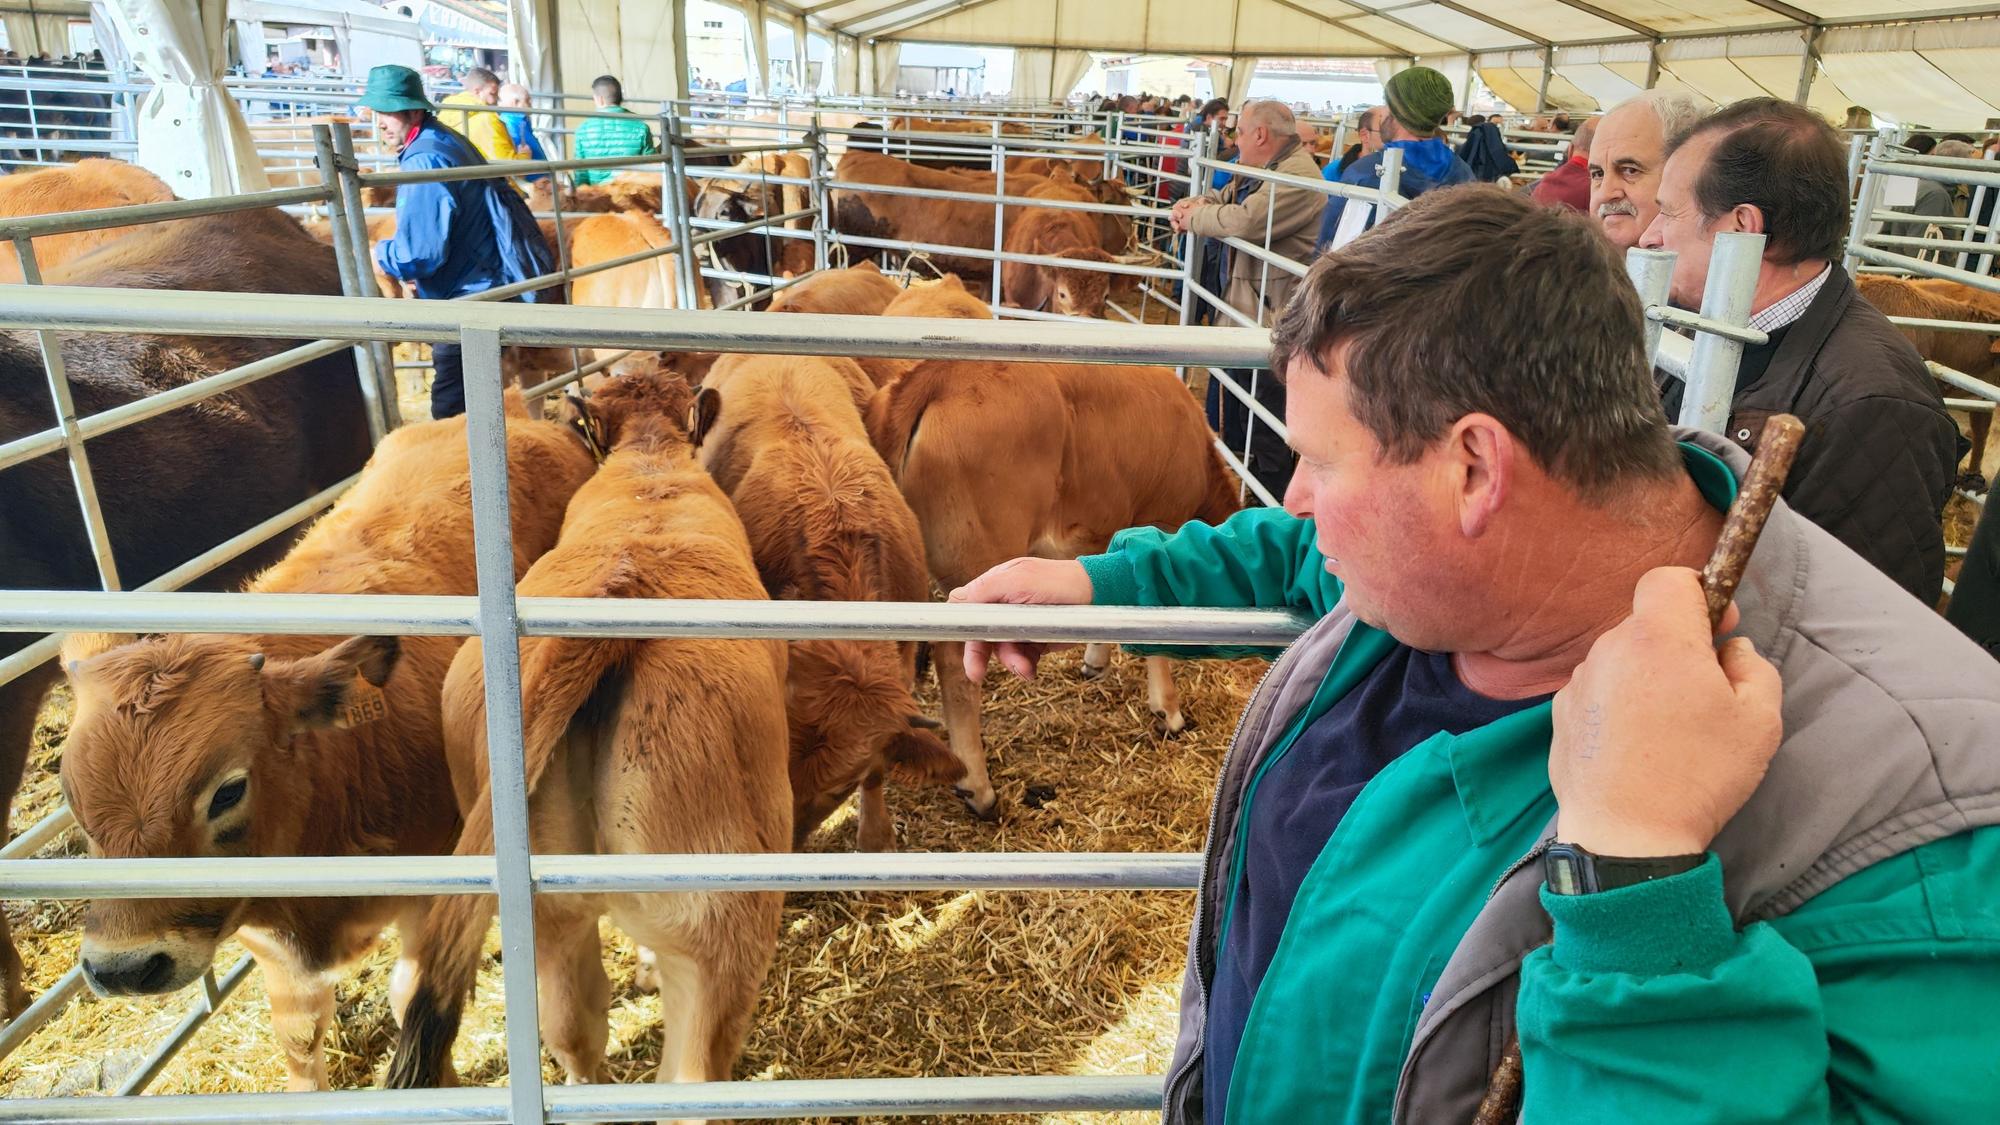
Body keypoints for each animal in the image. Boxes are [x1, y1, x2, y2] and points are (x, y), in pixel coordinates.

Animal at [868, 336, 1240, 808]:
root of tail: (940, 373)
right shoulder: (1161, 525)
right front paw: (1168, 710)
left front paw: (1095, 662)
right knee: (954, 665)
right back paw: (977, 785)